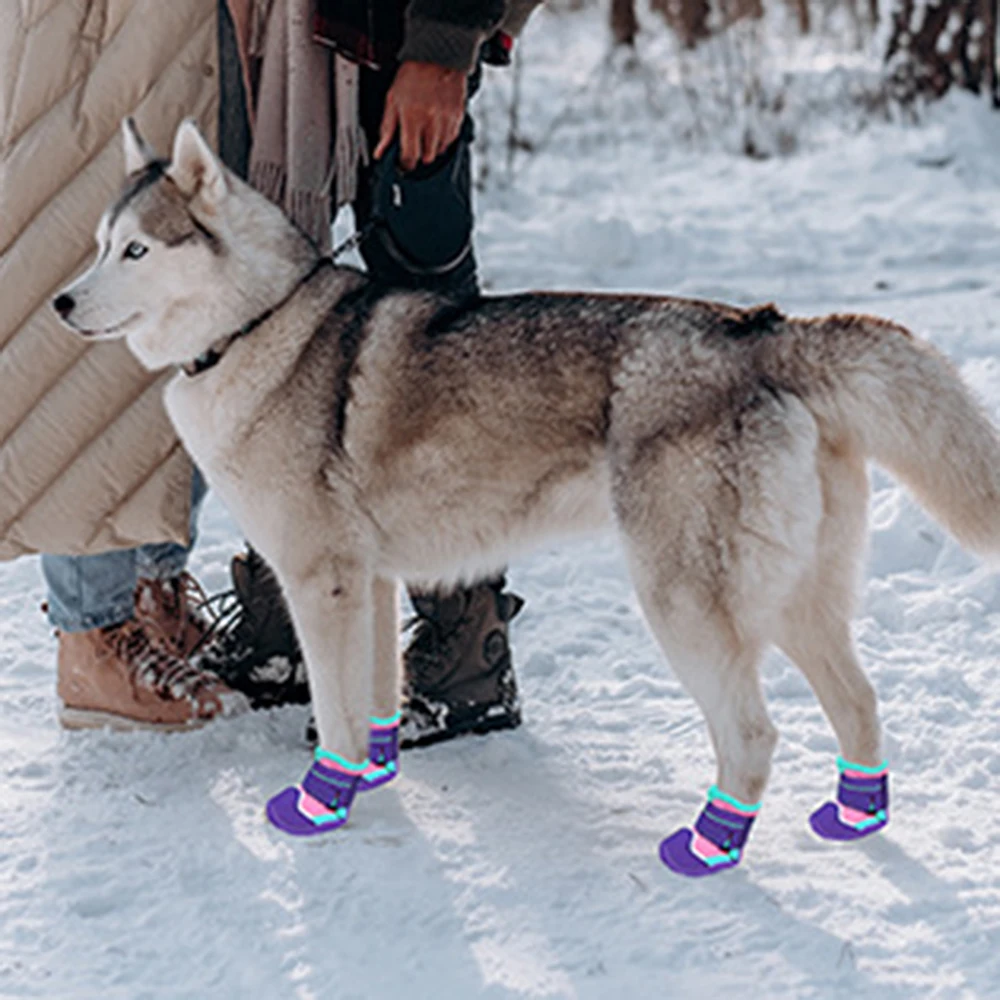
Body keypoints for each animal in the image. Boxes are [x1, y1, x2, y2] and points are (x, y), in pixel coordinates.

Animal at [54, 119, 1000, 875]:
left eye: (137, 250)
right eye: (98, 243)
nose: (60, 302)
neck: (258, 324)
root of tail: (763, 330)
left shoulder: (321, 582)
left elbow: (334, 706)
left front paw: (322, 802)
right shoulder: (373, 580)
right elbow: (376, 694)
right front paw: (372, 774)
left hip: (687, 605)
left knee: (754, 734)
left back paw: (709, 846)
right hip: (796, 596)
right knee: (861, 701)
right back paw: (853, 815)